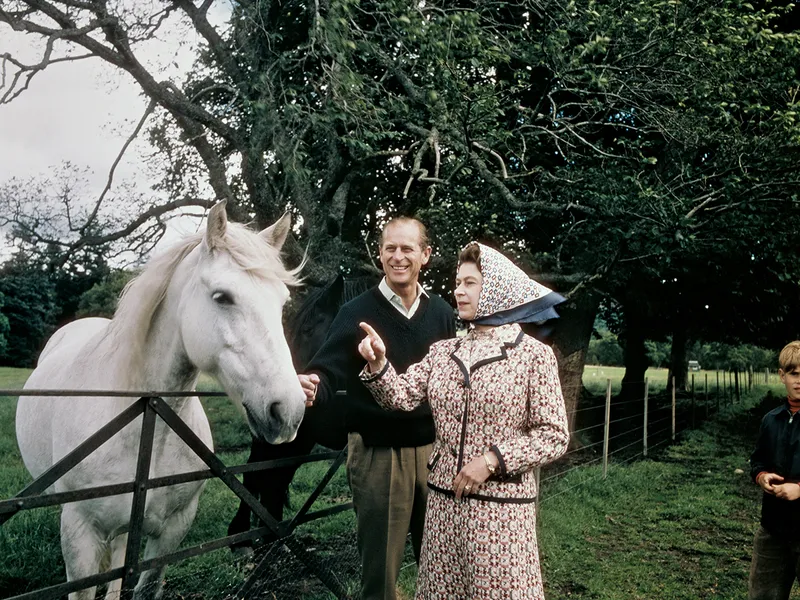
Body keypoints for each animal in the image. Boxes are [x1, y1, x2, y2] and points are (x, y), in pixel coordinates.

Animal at [18, 202, 310, 600]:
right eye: (222, 297)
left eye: (281, 302)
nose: (288, 410)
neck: (145, 425)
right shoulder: (80, 535)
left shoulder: (173, 531)